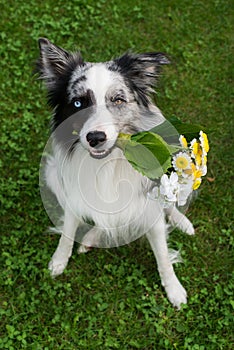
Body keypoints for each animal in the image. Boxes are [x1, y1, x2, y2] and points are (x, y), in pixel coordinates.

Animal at [37, 37, 194, 308]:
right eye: (78, 103)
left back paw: (182, 222)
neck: (107, 163)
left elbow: (163, 255)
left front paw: (174, 289)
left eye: (118, 100)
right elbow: (67, 232)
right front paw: (58, 261)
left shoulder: (150, 206)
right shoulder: (73, 196)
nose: (95, 138)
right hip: (52, 174)